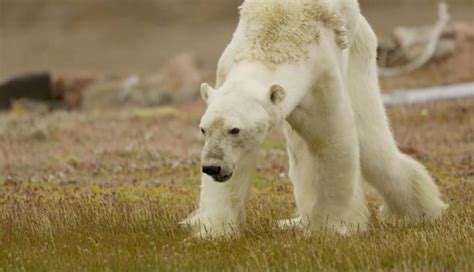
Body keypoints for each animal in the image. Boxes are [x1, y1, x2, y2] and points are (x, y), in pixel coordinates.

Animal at [180, 0, 446, 238]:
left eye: (234, 129)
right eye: (203, 129)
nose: (211, 167)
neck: (272, 38)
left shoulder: (321, 76)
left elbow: (331, 142)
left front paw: (330, 227)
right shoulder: (226, 68)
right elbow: (239, 164)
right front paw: (213, 230)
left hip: (359, 53)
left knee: (371, 144)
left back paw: (418, 212)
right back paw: (295, 221)